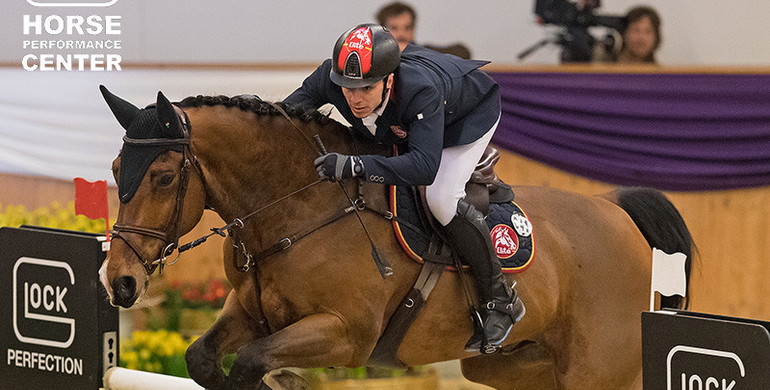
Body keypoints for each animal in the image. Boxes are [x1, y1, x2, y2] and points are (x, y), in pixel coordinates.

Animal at [97, 87, 696, 390]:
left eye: (163, 177)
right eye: (116, 168)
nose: (118, 282)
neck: (294, 209)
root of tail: (615, 211)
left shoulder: (347, 333)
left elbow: (249, 364)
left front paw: (283, 381)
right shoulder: (250, 312)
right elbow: (202, 358)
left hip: (597, 370)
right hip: (506, 363)